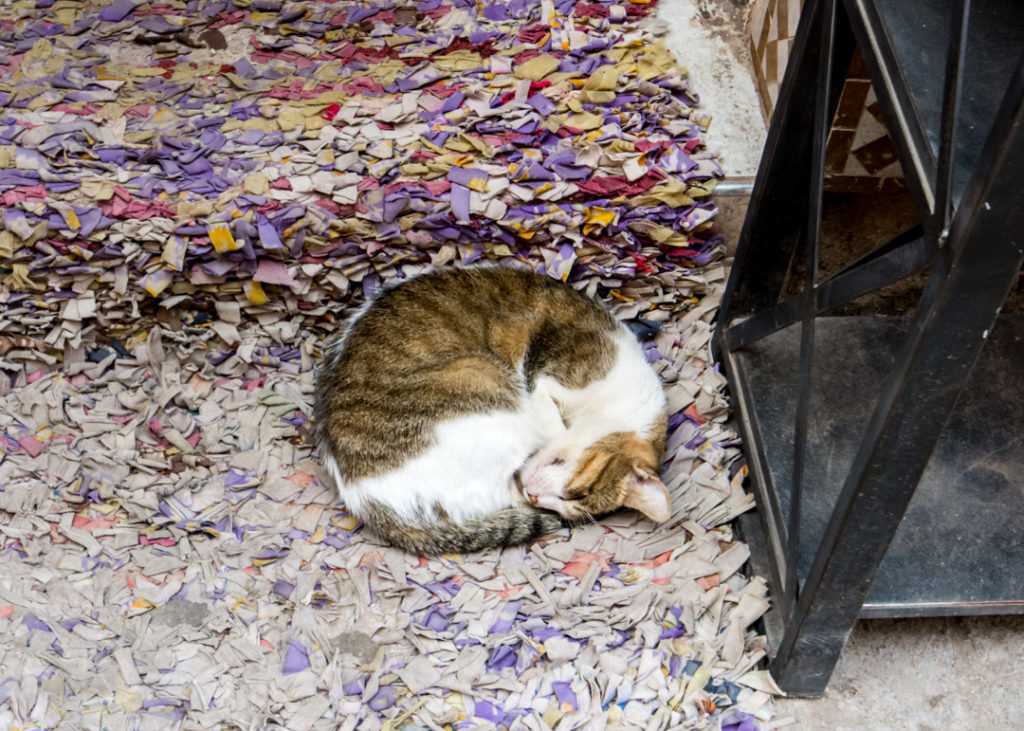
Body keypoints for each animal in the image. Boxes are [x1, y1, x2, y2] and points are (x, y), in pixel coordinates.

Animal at [311, 264, 671, 552]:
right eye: (571, 493)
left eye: (565, 504)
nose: (537, 499)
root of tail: (367, 502)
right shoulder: (546, 380)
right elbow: (551, 424)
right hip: (482, 381)